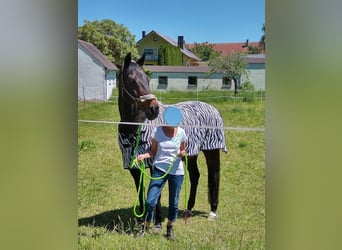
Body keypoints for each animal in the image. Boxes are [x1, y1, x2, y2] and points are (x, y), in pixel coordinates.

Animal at [117, 52, 227, 225]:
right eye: (131, 79)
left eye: (147, 78)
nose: (153, 109)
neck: (135, 128)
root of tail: (212, 109)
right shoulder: (133, 165)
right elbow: (140, 190)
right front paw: (142, 218)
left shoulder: (155, 163)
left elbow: (156, 193)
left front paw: (156, 220)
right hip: (191, 153)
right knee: (195, 176)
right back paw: (188, 208)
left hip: (212, 151)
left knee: (214, 175)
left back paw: (213, 211)